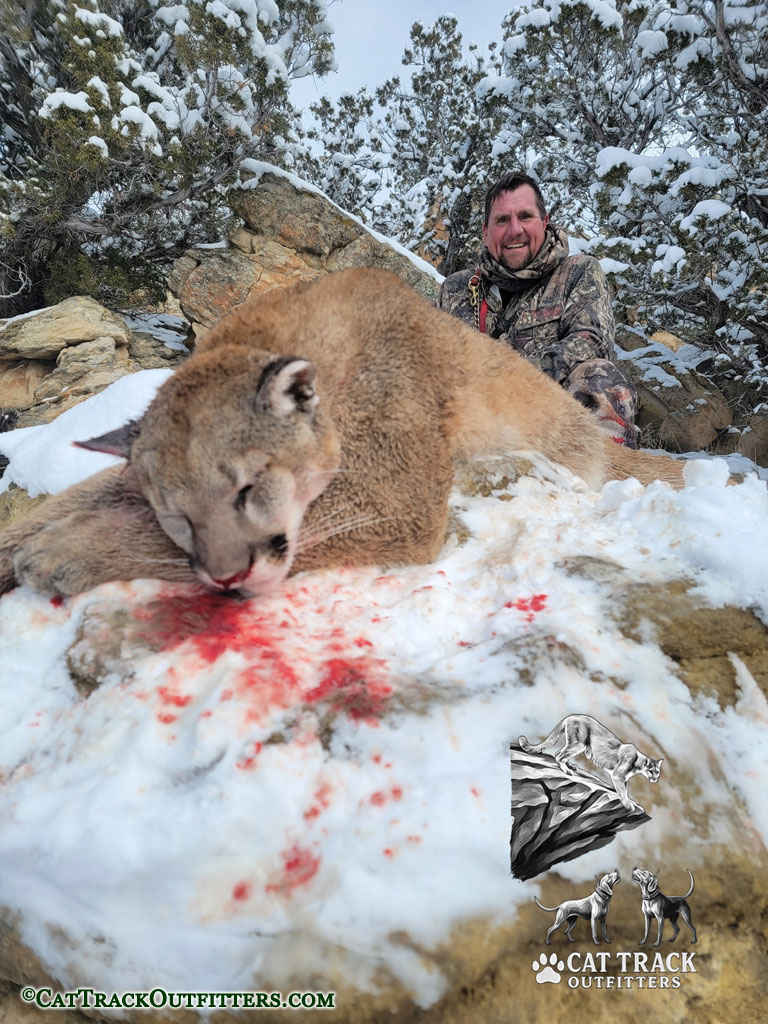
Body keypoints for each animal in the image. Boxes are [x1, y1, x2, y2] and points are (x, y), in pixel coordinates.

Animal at [0, 268, 686, 598]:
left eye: (248, 487)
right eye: (175, 512)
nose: (229, 578)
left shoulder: (397, 498)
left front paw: (65, 552)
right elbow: (79, 497)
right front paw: (23, 543)